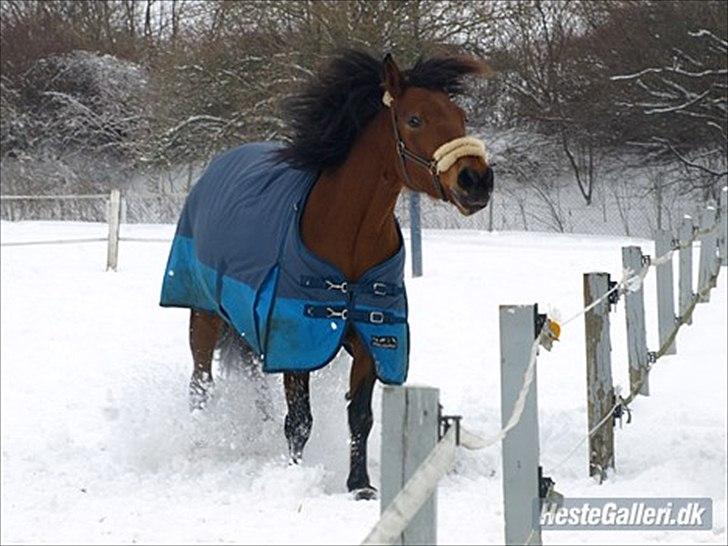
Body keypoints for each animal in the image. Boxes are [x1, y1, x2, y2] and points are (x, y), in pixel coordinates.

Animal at [183, 51, 490, 498]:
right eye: (415, 119)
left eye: (460, 117)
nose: (477, 181)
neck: (349, 237)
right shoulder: (296, 337)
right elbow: (299, 421)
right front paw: (294, 476)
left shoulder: (370, 340)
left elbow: (359, 417)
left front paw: (360, 485)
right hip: (202, 316)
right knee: (200, 383)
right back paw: (200, 439)